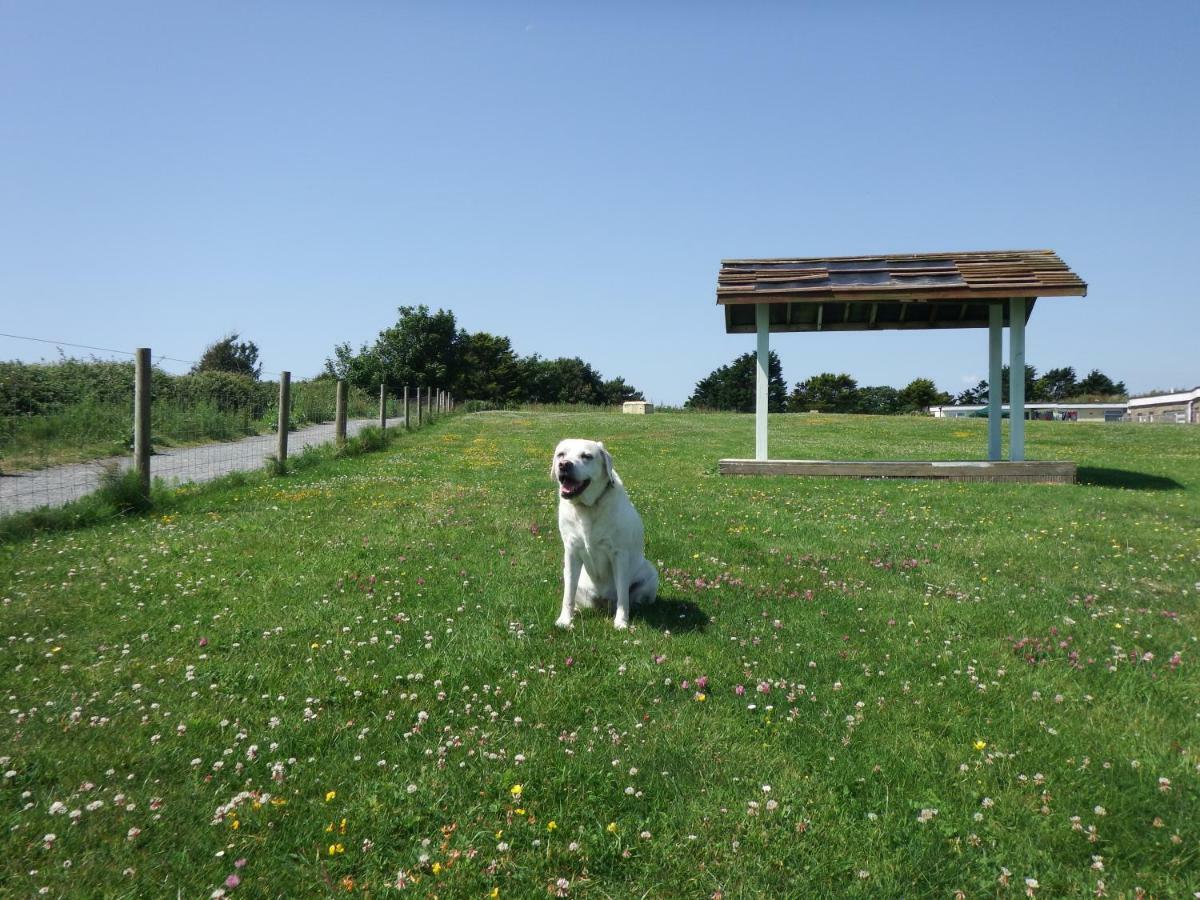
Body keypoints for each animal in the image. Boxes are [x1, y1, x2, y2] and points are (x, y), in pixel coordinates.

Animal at [549, 441, 657, 628]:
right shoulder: (571, 551)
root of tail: (603, 602)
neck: (587, 509)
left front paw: (621, 622)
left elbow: (623, 594)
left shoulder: (619, 554)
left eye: (587, 456)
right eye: (560, 454)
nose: (564, 465)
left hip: (651, 573)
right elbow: (568, 594)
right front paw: (565, 620)